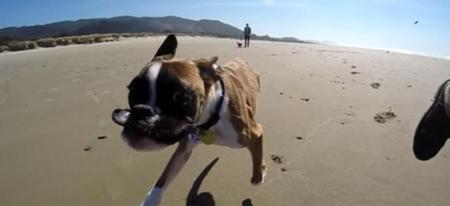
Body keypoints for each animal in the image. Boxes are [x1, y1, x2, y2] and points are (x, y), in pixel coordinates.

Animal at [112, 34, 266, 205]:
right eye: (132, 91)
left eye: (181, 97)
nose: (141, 111)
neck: (212, 115)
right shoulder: (184, 148)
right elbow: (163, 179)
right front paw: (150, 200)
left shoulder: (255, 134)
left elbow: (258, 162)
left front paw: (259, 176)